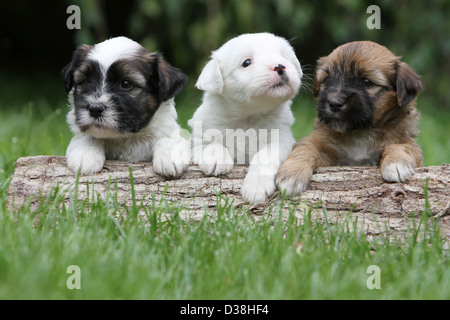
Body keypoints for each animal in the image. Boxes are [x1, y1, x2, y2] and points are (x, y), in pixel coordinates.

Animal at [63, 37, 190, 180]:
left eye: (125, 84)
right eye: (85, 81)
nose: (95, 109)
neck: (126, 137)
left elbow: (168, 137)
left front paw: (170, 156)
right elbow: (88, 136)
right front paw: (85, 155)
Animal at [186, 33, 302, 205]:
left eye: (283, 56)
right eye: (246, 63)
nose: (280, 66)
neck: (248, 116)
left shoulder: (282, 139)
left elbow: (265, 156)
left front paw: (256, 186)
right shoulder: (199, 135)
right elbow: (210, 143)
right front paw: (217, 158)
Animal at [276, 40, 424, 195]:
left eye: (366, 82)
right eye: (327, 79)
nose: (334, 103)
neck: (361, 132)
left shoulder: (407, 142)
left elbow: (403, 146)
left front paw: (396, 163)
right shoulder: (323, 148)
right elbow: (306, 147)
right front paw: (292, 174)